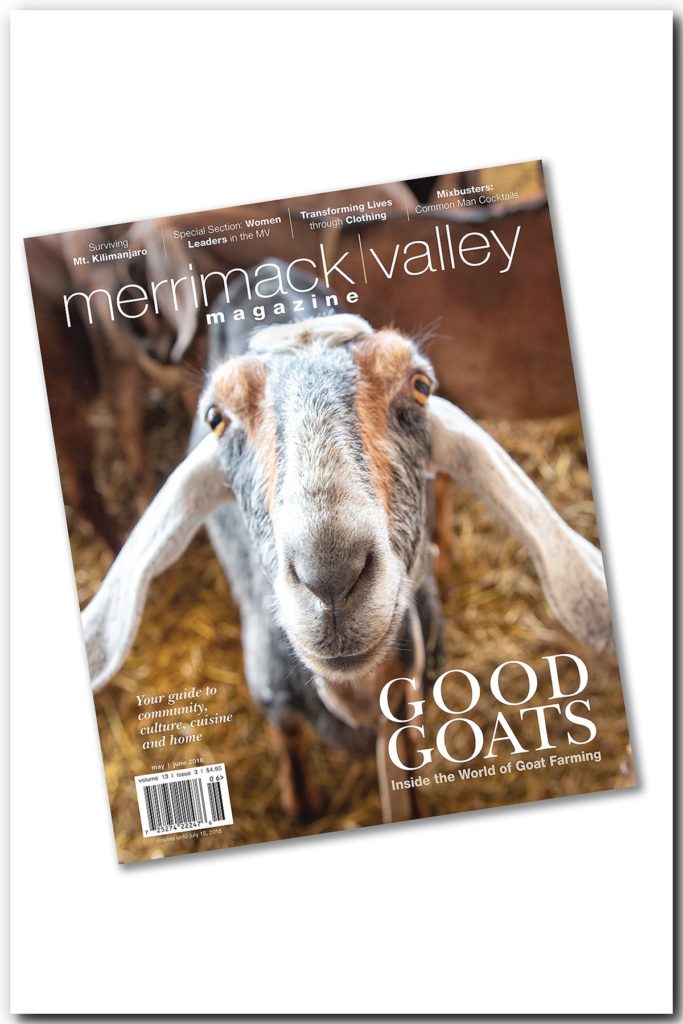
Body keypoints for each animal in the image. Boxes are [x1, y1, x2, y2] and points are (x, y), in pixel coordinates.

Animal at [81, 265, 612, 824]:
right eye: (216, 419)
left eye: (420, 386)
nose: (332, 576)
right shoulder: (276, 701)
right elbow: (293, 764)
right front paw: (302, 803)